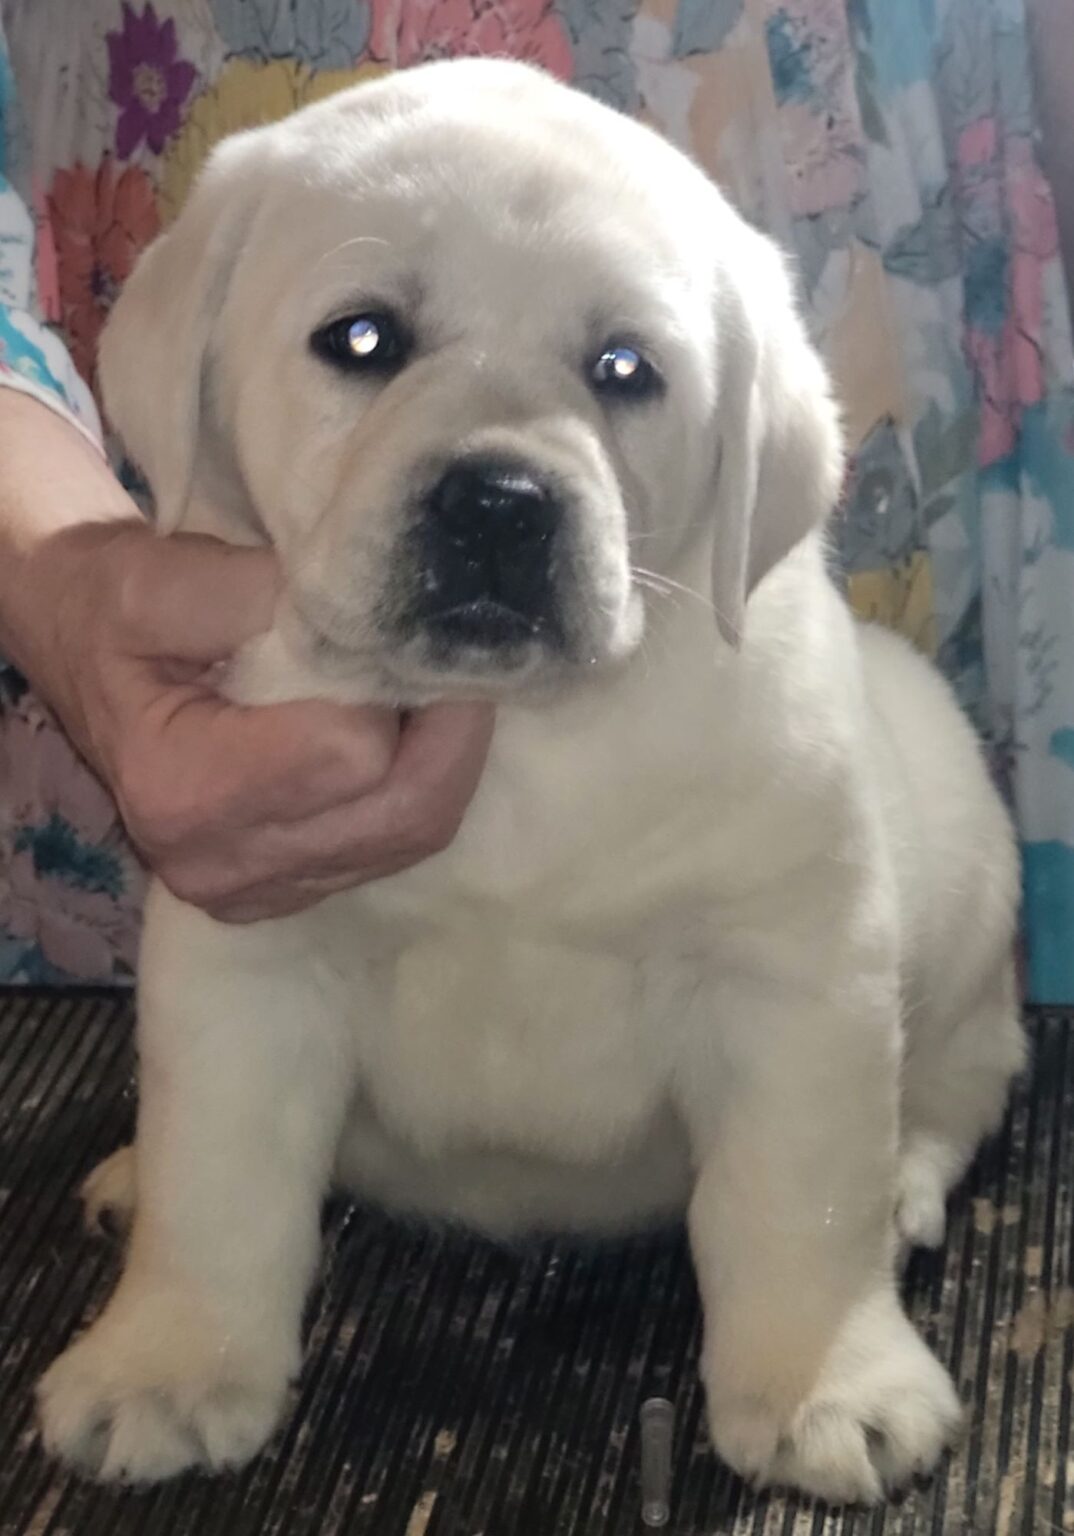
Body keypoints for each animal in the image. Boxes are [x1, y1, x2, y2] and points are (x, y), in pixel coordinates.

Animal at [35, 56, 1026, 1499]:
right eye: (362, 340)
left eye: (625, 369)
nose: (499, 501)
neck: (514, 741)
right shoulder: (243, 957)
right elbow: (217, 1185)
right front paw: (163, 1367)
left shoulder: (793, 975)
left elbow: (794, 1199)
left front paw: (823, 1387)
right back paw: (127, 1181)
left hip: (970, 917)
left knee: (961, 1083)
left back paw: (906, 1182)